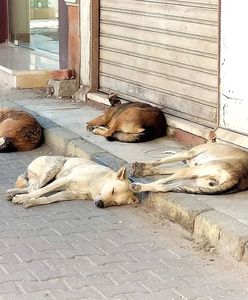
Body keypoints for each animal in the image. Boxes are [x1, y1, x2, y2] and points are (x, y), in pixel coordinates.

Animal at [6, 155, 140, 209]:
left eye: (115, 203)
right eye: (113, 191)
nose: (100, 204)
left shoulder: (70, 194)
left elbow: (48, 198)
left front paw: (33, 202)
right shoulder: (65, 180)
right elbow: (41, 192)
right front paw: (24, 198)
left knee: (32, 187)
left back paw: (12, 192)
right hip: (53, 169)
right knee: (34, 188)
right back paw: (19, 195)